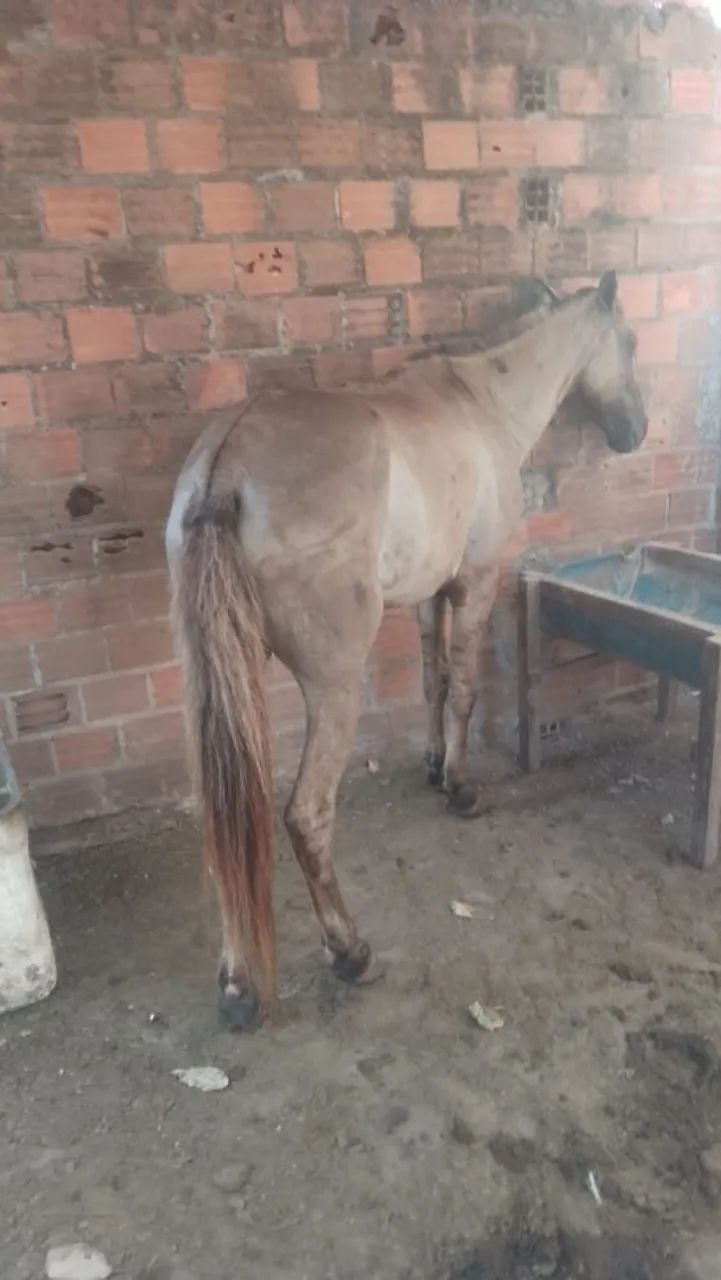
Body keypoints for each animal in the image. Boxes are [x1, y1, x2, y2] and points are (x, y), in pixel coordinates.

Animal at [165, 269, 647, 1030]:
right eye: (628, 342)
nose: (635, 432)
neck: (481, 405)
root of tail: (225, 469)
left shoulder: (429, 592)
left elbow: (433, 680)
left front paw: (431, 764)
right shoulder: (475, 583)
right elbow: (465, 688)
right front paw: (459, 786)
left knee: (226, 827)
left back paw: (237, 985)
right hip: (332, 687)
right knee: (306, 815)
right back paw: (349, 950)